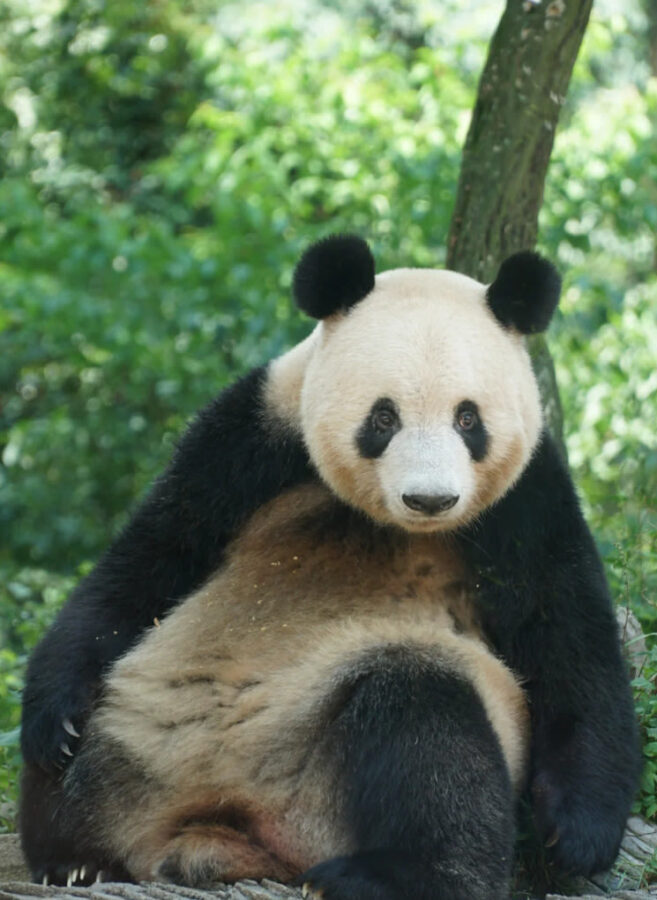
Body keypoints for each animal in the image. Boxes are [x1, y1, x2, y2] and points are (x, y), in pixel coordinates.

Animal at [20, 236, 639, 899]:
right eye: (384, 417)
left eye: (468, 419)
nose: (430, 499)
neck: (386, 523)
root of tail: (222, 827)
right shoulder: (251, 440)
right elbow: (151, 559)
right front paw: (54, 719)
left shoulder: (526, 497)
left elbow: (566, 636)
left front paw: (576, 835)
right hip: (137, 736)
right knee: (76, 771)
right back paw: (76, 858)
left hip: (321, 767)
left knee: (426, 726)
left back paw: (390, 875)